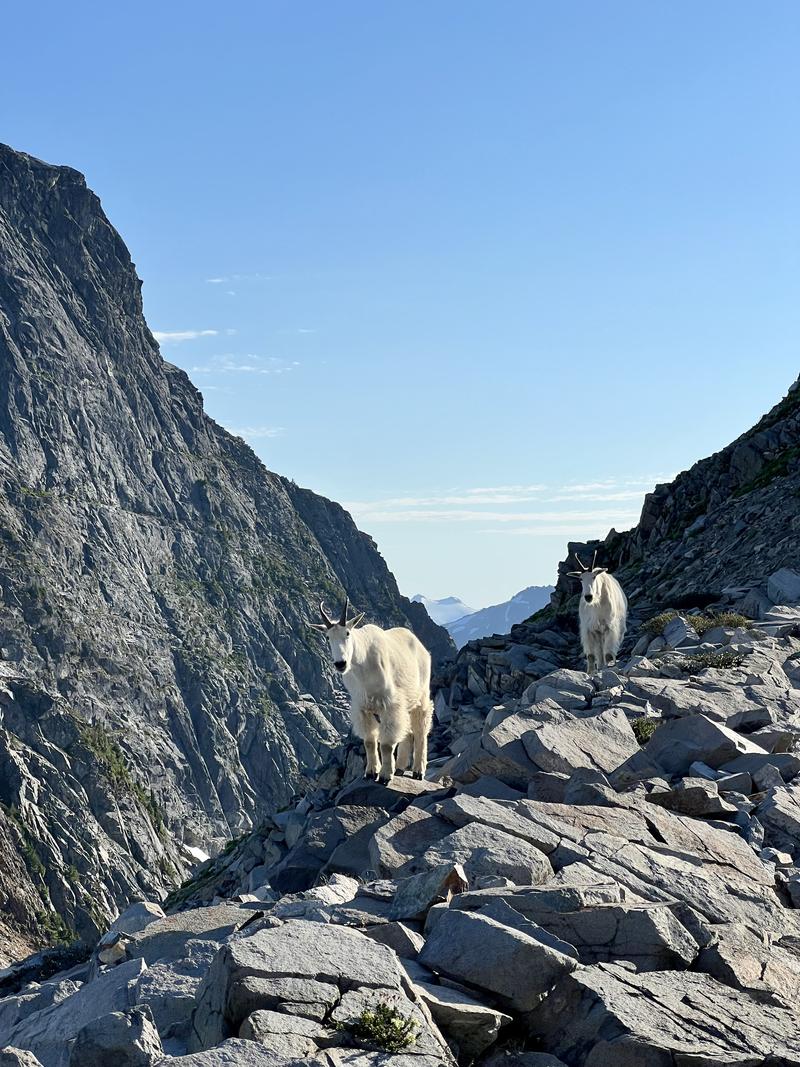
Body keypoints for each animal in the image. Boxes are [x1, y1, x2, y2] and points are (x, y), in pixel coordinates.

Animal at [311, 601, 435, 785]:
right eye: (327, 637)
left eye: (347, 633)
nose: (340, 664)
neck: (363, 665)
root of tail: (420, 646)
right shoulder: (363, 707)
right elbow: (369, 742)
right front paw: (370, 772)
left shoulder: (390, 704)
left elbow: (386, 745)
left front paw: (384, 776)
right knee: (407, 730)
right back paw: (400, 768)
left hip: (422, 695)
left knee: (421, 729)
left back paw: (418, 771)